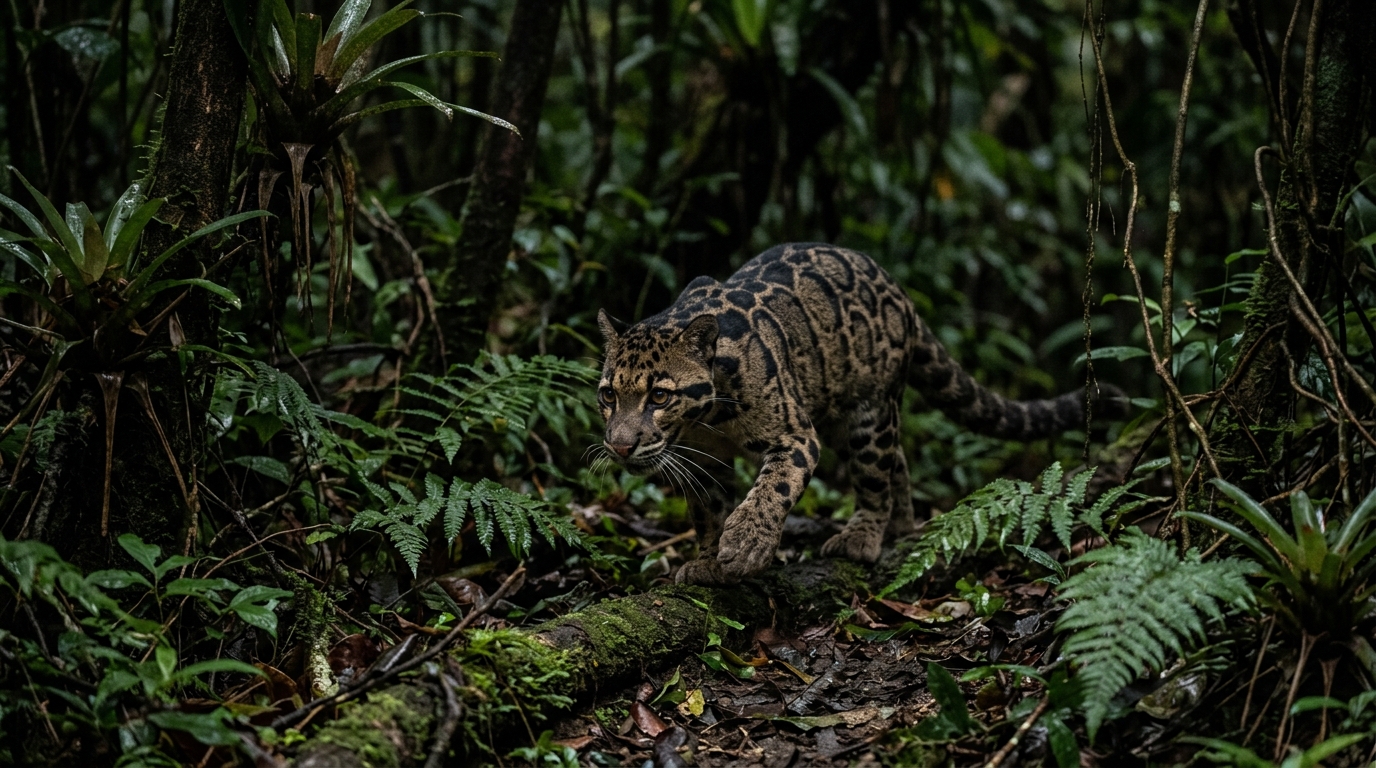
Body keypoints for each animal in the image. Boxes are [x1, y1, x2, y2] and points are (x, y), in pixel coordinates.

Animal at [595, 243, 1119, 586]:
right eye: (607, 396)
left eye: (659, 397)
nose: (619, 445)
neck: (705, 421)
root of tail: (899, 291)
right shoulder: (700, 460)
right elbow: (707, 510)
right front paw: (707, 559)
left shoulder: (794, 435)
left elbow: (771, 489)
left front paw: (746, 544)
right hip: (836, 414)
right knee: (896, 463)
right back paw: (902, 525)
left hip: (870, 413)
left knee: (874, 478)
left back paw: (864, 536)